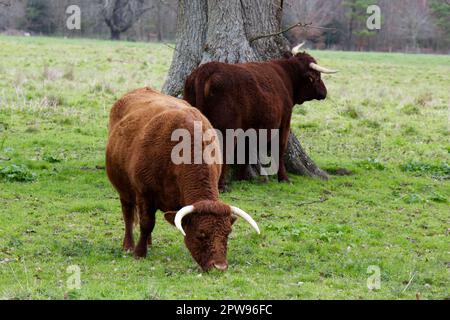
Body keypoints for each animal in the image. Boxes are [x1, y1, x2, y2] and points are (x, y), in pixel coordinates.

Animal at [106, 88, 260, 272]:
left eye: (227, 233)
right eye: (201, 234)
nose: (220, 266)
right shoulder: (144, 193)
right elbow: (146, 222)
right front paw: (139, 253)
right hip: (124, 189)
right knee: (128, 213)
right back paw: (129, 245)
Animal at [184, 43, 338, 191]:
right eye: (317, 76)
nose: (324, 92)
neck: (285, 77)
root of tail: (206, 69)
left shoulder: (250, 129)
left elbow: (245, 152)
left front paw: (242, 178)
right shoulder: (284, 122)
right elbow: (280, 149)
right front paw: (284, 178)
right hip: (227, 129)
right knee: (224, 151)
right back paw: (222, 185)